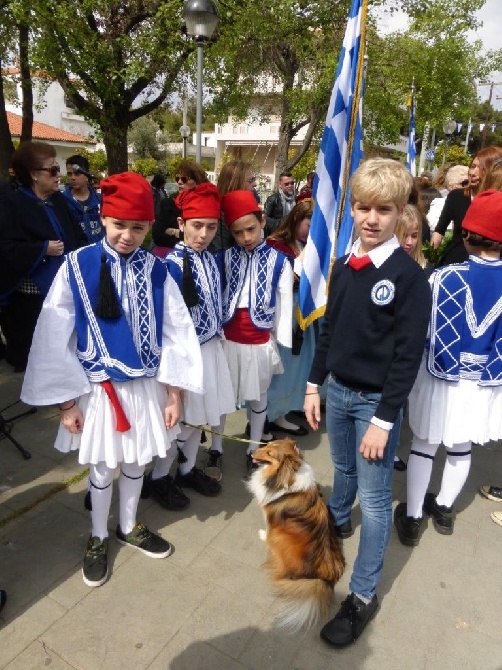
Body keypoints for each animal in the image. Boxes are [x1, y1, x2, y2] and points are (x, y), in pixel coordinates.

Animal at [247, 438, 346, 632]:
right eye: (267, 444)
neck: (283, 476)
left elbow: (268, 528)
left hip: (280, 538)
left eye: (269, 453)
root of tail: (320, 577)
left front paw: (263, 534)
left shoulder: (272, 520)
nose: (252, 452)